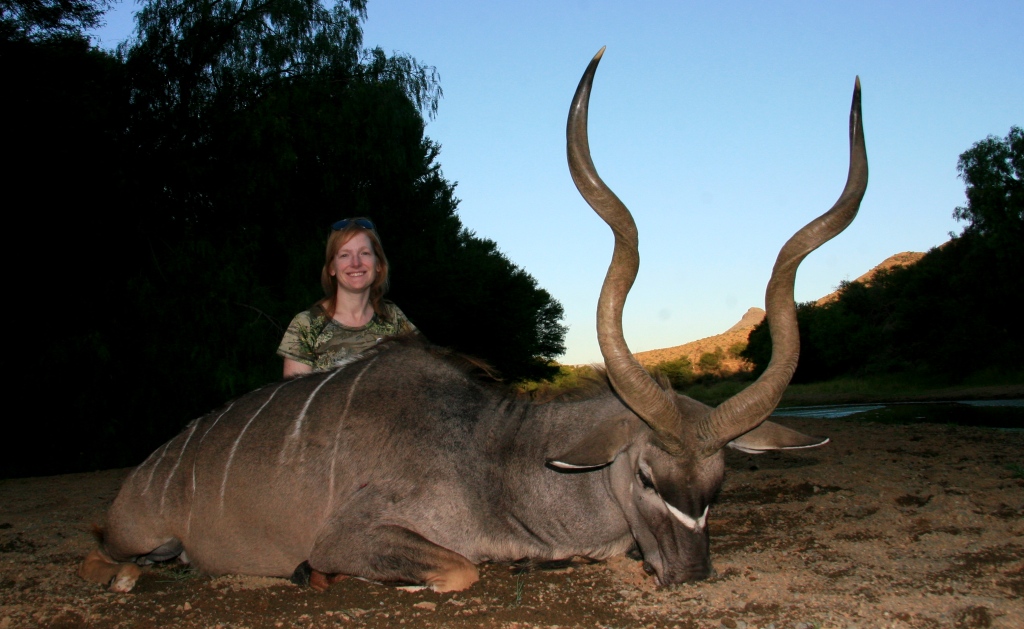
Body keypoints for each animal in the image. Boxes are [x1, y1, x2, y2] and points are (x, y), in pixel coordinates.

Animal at [79, 47, 867, 593]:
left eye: (720, 482)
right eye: (646, 476)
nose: (692, 572)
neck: (493, 457)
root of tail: (144, 472)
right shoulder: (353, 534)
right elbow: (459, 570)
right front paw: (330, 577)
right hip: (128, 533)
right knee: (104, 554)